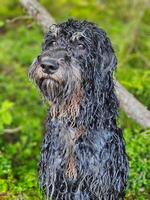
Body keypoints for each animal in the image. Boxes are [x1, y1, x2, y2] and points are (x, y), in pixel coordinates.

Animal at [29, 19, 129, 200]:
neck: (74, 120)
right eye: (52, 42)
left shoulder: (102, 183)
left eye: (81, 45)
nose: (47, 65)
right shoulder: (54, 178)